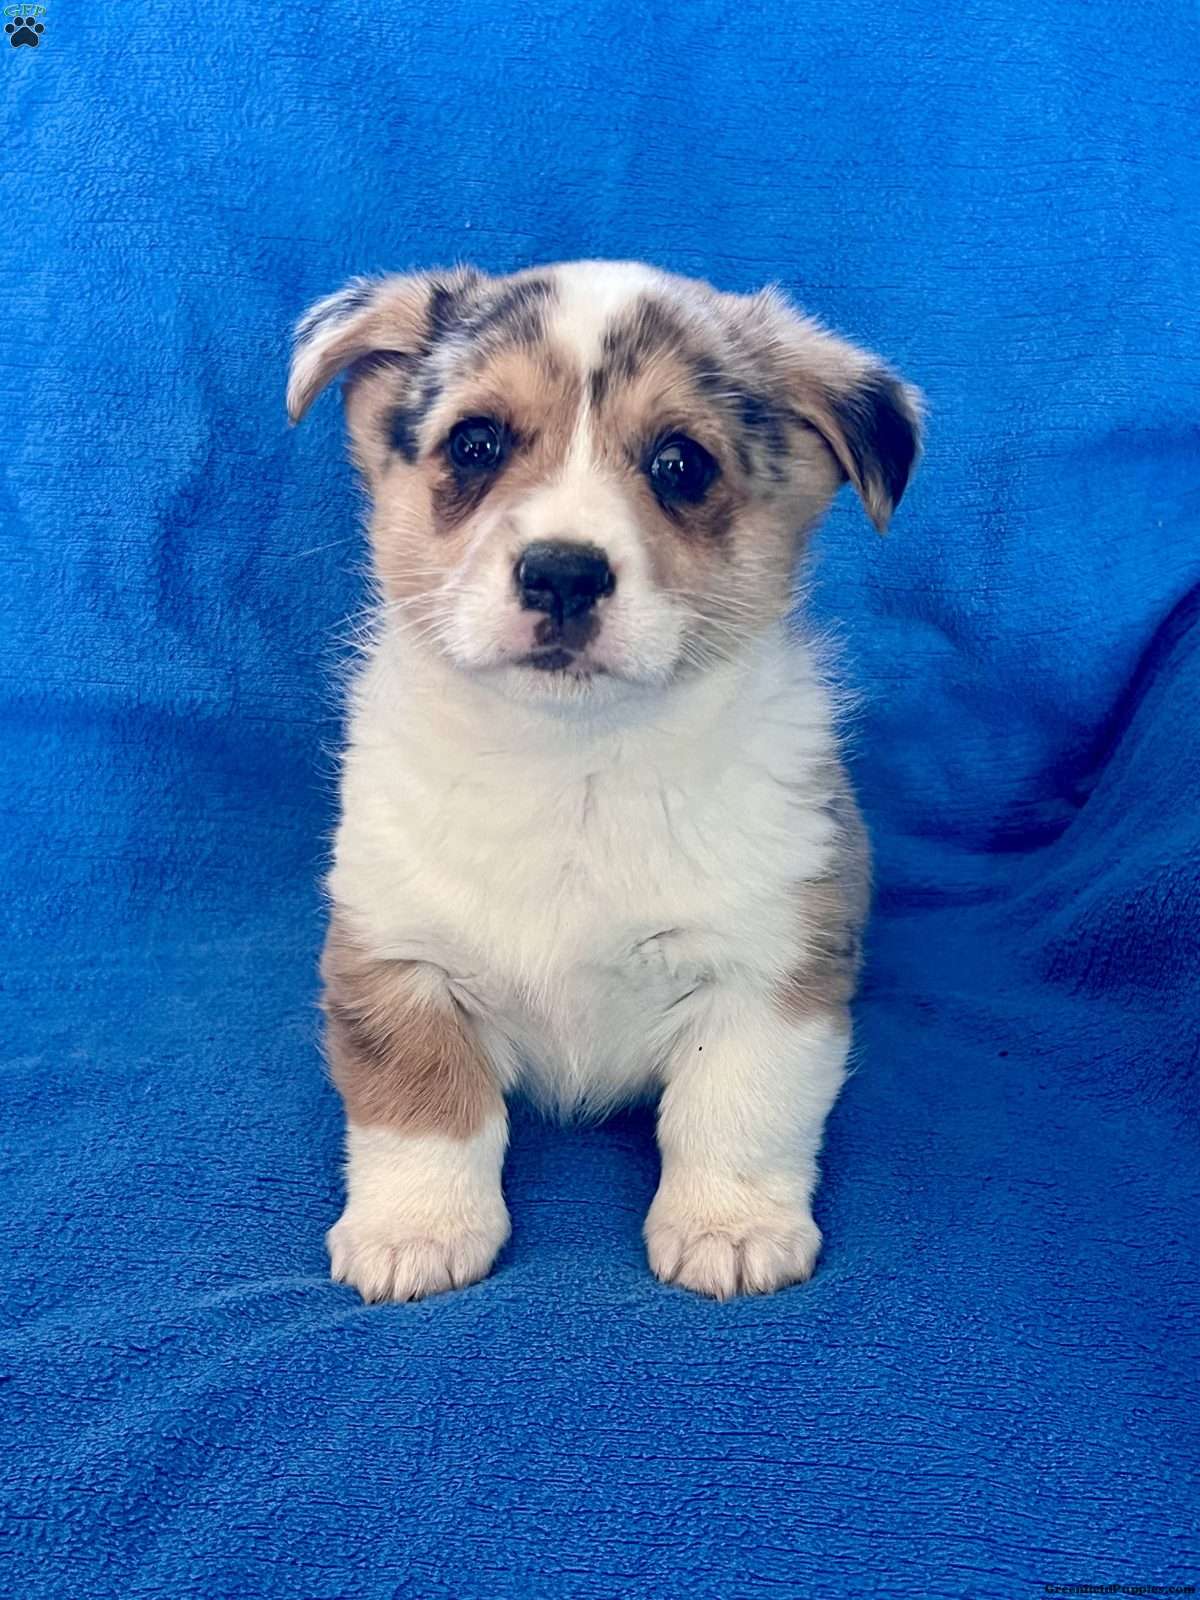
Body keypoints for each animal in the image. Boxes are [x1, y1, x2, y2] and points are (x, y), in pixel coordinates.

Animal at [287, 260, 920, 1302]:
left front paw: (729, 1229)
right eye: (476, 442)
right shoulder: (397, 959)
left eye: (681, 464)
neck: (574, 765)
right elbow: (423, 1107)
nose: (563, 573)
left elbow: (736, 1109)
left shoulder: (767, 972)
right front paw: (415, 1232)